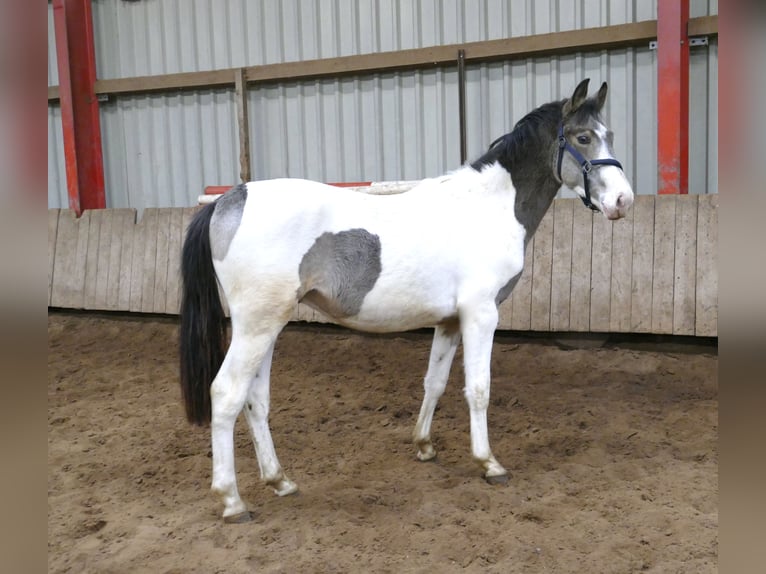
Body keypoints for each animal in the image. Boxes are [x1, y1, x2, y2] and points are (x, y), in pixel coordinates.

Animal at [179, 78, 634, 522]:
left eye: (610, 134)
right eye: (583, 137)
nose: (623, 201)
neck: (487, 207)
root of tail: (229, 200)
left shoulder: (449, 321)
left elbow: (435, 382)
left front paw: (424, 445)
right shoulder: (481, 314)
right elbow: (479, 388)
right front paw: (489, 463)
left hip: (266, 326)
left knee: (255, 399)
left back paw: (280, 481)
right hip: (256, 327)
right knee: (226, 394)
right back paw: (232, 501)